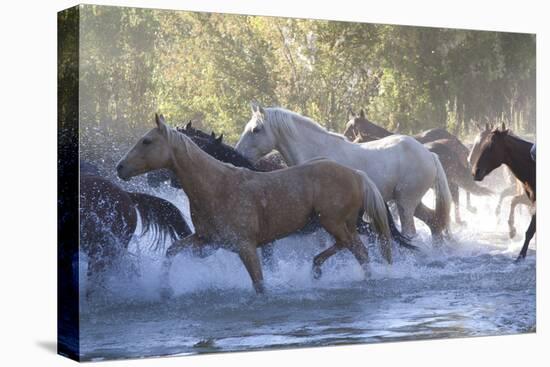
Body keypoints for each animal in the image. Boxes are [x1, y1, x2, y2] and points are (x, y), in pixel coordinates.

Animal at [118, 115, 398, 296]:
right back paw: (317, 269)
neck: (216, 185)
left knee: (360, 251)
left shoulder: (247, 247)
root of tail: (357, 174)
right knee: (350, 247)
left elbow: (260, 284)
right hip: (336, 225)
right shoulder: (206, 241)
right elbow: (171, 251)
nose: (120, 168)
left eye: (146, 141)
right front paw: (165, 289)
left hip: (336, 223)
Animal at [237, 103, 452, 242]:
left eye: (256, 129)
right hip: (410, 203)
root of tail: (429, 154)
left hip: (405, 203)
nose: (238, 153)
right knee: (434, 223)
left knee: (411, 232)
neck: (317, 153)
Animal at [472, 126, 536, 262]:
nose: (475, 172)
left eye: (491, 146)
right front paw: (512, 231)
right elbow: (513, 202)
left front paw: (520, 255)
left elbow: (530, 231)